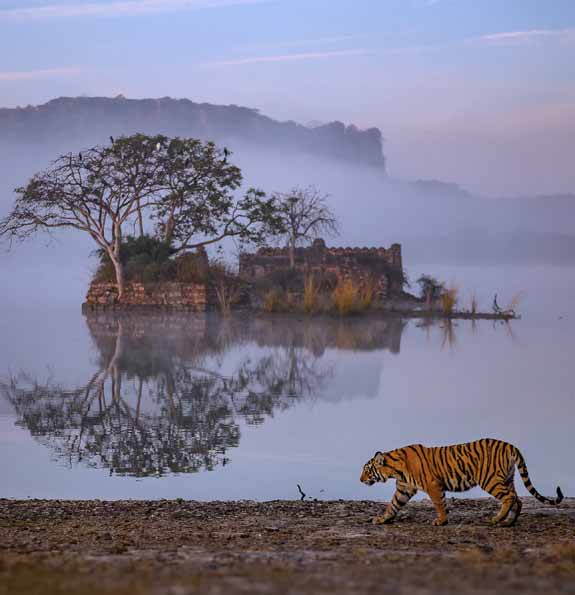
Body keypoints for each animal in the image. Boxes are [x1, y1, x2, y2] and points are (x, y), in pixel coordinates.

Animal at [362, 438, 564, 528]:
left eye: (367, 470)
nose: (361, 479)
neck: (395, 469)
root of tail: (509, 445)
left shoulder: (432, 485)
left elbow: (439, 504)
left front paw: (441, 521)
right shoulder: (404, 489)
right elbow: (393, 505)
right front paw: (382, 519)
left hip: (490, 479)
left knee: (509, 497)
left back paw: (496, 519)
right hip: (507, 478)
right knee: (517, 499)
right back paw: (509, 522)